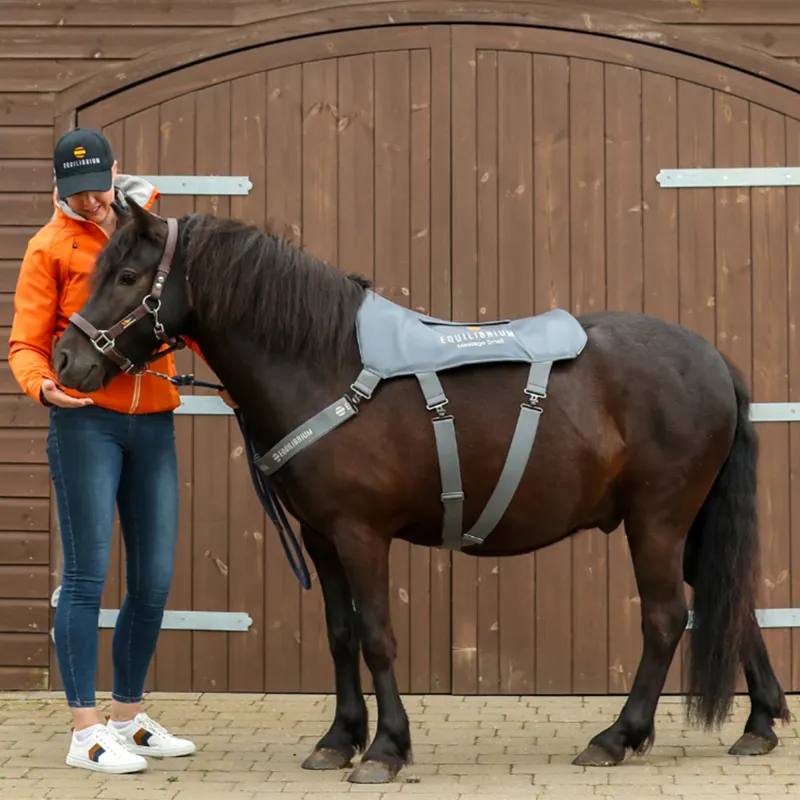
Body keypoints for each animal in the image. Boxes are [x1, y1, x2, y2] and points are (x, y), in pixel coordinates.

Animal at [52, 198, 791, 784]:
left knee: (666, 618)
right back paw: (759, 724)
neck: (328, 364)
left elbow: (377, 635)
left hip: (657, 521)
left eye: (127, 276)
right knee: (731, 601)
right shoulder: (322, 537)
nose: (65, 359)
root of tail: (712, 359)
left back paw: (618, 736)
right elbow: (340, 633)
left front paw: (386, 748)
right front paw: (339, 739)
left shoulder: (361, 535)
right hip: (690, 523)